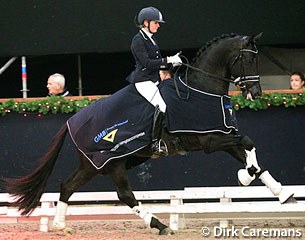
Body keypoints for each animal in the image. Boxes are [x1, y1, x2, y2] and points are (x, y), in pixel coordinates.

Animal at [3, 32, 294, 235]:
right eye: (249, 58)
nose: (256, 94)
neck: (202, 88)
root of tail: (71, 120)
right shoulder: (209, 140)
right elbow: (247, 141)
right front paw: (246, 177)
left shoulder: (222, 132)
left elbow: (250, 150)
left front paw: (280, 192)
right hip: (108, 162)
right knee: (123, 195)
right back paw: (160, 225)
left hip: (101, 164)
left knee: (69, 186)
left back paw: (61, 226)